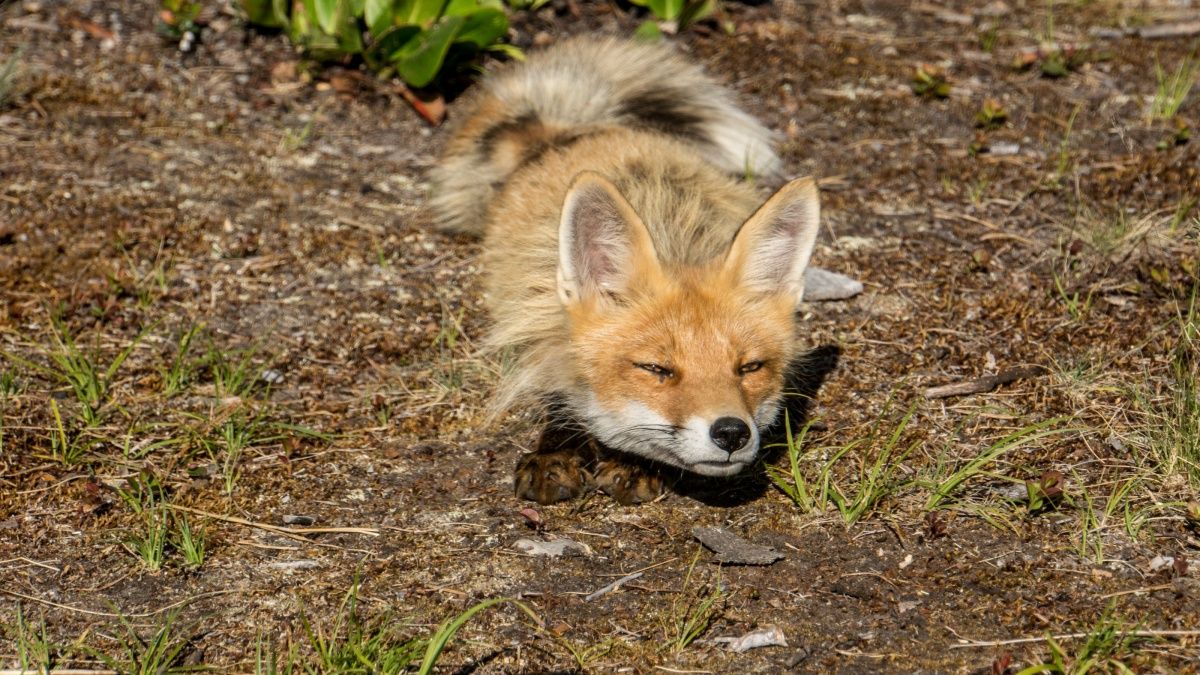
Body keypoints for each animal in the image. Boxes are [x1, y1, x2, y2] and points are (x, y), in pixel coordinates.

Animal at [431, 37, 824, 505]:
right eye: (655, 369)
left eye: (749, 368)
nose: (731, 432)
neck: (675, 241)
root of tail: (573, 135)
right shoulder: (537, 317)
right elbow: (558, 387)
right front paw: (556, 450)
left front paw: (633, 464)